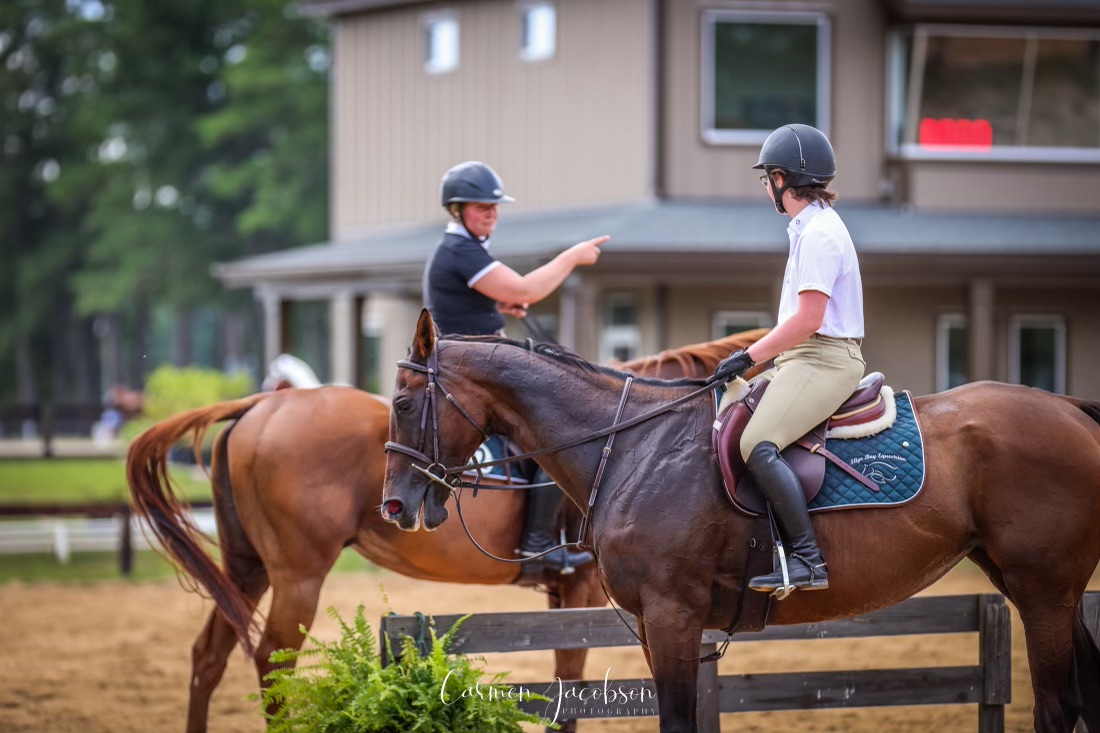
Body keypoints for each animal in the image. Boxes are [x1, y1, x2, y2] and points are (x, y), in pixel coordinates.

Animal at [125, 327, 765, 733]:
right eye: (401, 406)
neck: (626, 434)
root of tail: (261, 406)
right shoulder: (585, 589)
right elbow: (570, 687)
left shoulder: (572, 594)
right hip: (297, 574)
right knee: (274, 663)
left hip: (247, 567)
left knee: (209, 657)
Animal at [381, 309, 1100, 733]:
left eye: (403, 402)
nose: (395, 506)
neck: (633, 444)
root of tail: (1070, 408)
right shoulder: (658, 623)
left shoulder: (672, 613)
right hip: (1042, 589)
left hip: (1043, 589)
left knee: (1060, 705)